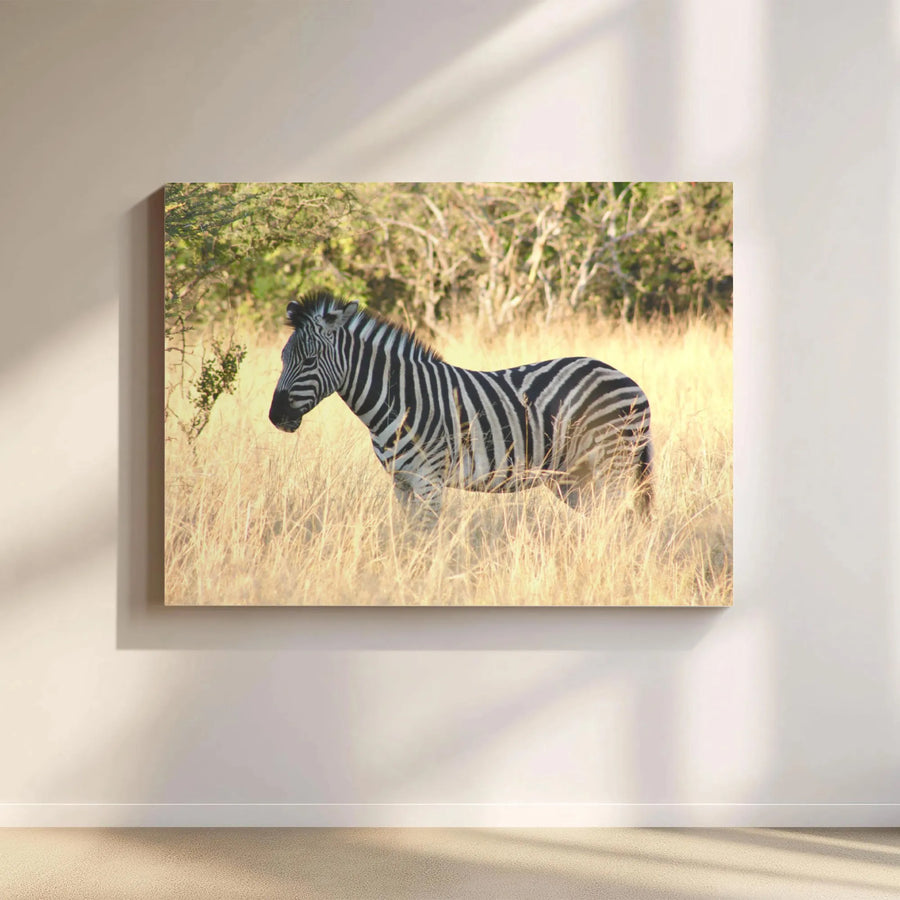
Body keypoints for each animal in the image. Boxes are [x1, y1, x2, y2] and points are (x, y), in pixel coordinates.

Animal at [268, 290, 653, 519]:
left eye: (310, 360)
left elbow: (425, 539)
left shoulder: (429, 480)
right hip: (575, 475)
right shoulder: (401, 482)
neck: (400, 401)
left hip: (611, 462)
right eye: (283, 359)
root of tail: (630, 381)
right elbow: (406, 538)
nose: (276, 417)